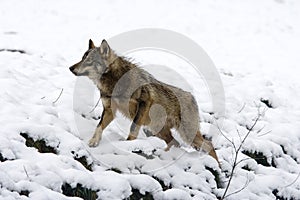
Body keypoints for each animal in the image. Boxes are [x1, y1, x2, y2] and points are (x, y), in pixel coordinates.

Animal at [70, 39, 220, 162]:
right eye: (82, 58)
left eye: (88, 61)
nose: (71, 68)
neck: (114, 83)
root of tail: (192, 96)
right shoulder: (109, 111)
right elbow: (99, 127)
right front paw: (93, 142)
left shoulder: (144, 103)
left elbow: (133, 128)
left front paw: (128, 145)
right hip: (159, 131)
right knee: (175, 143)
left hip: (187, 135)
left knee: (209, 145)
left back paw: (216, 165)